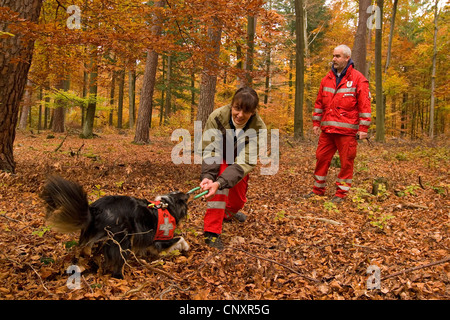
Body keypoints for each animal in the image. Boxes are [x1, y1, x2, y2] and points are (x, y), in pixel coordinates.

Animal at [40, 176, 190, 278]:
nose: (189, 194)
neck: (167, 205)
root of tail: (94, 209)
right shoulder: (160, 239)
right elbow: (179, 239)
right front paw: (186, 247)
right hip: (123, 240)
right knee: (118, 266)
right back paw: (121, 277)